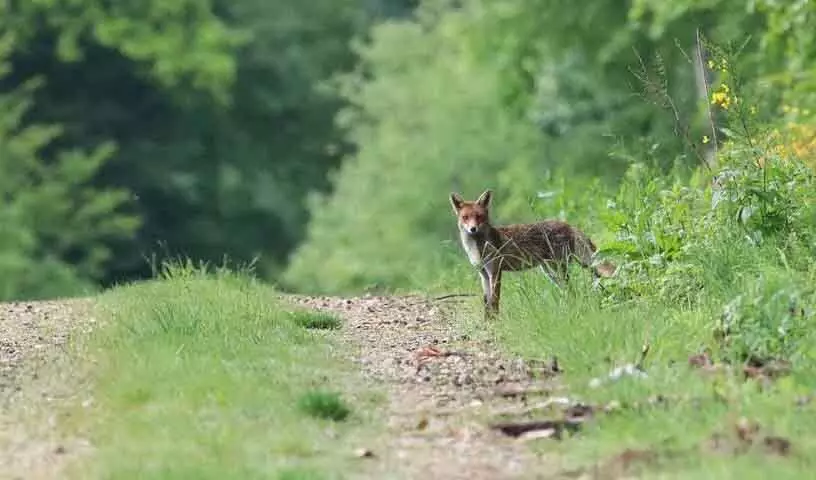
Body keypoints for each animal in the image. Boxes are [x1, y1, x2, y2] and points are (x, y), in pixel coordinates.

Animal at [450, 188, 616, 318]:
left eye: (479, 216)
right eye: (465, 217)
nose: (473, 229)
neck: (478, 248)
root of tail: (568, 224)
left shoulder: (495, 272)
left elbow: (495, 301)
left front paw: (496, 321)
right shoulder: (483, 274)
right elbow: (486, 302)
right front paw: (488, 321)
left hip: (559, 268)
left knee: (572, 289)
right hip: (550, 272)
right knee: (569, 291)